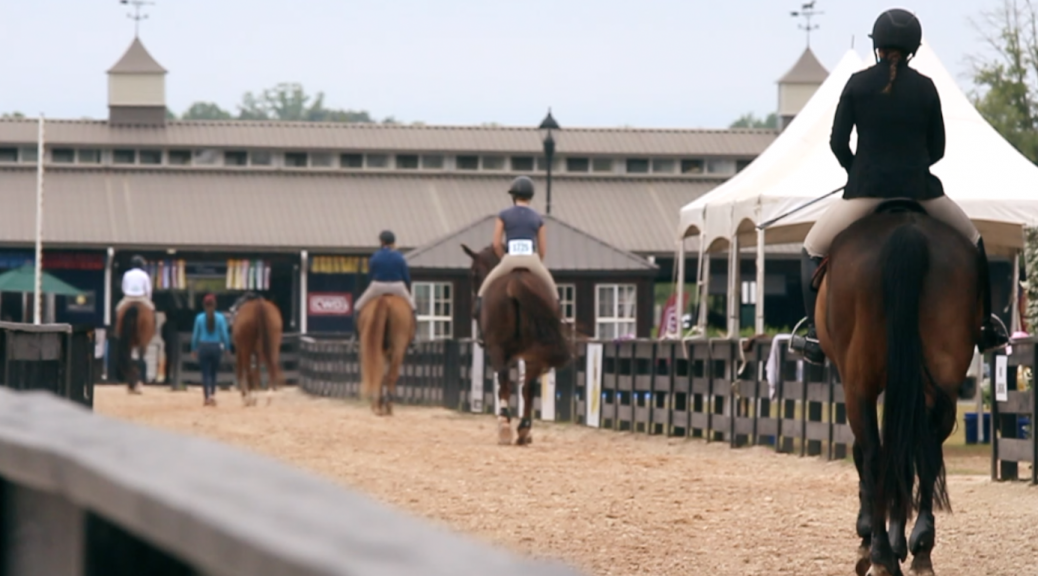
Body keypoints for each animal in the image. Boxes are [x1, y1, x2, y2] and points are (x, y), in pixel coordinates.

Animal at [465, 243, 577, 446]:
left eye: (473, 273)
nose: (473, 308)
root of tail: (515, 282)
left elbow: (503, 386)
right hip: (535, 351)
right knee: (529, 387)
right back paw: (524, 430)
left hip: (498, 349)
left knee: (504, 382)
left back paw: (504, 427)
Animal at [809, 201, 979, 576]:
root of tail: (907, 233)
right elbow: (904, 454)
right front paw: (901, 541)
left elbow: (869, 453)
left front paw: (871, 538)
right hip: (943, 380)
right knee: (924, 451)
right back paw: (920, 549)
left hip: (858, 383)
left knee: (873, 453)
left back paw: (880, 554)